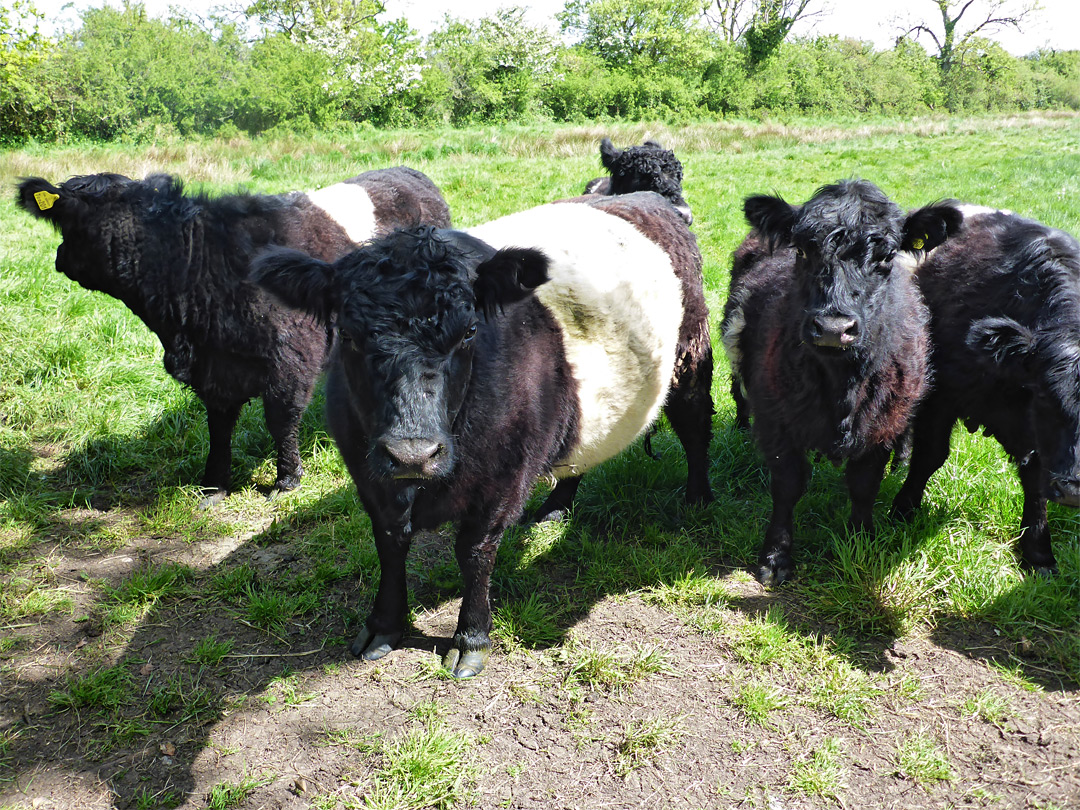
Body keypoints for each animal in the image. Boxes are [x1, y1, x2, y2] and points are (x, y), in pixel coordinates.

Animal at [21, 168, 451, 505]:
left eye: (71, 220)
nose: (59, 257)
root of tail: (411, 174)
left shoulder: (291, 360)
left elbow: (280, 420)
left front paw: (285, 480)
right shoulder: (214, 371)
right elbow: (218, 425)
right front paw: (213, 486)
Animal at [248, 190, 712, 678]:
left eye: (470, 331)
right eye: (350, 335)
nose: (413, 454)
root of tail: (646, 198)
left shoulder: (502, 480)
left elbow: (474, 553)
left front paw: (470, 638)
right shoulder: (370, 477)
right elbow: (390, 545)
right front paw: (384, 626)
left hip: (690, 355)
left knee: (695, 424)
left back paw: (698, 496)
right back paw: (555, 508)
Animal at [717, 179, 963, 583]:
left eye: (887, 256)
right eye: (802, 249)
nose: (834, 329)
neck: (839, 386)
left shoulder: (880, 425)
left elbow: (864, 484)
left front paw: (861, 539)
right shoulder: (777, 420)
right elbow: (787, 485)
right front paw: (776, 558)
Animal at [889, 209, 1080, 578]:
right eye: (1045, 396)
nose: (1074, 490)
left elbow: (1035, 481)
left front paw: (1038, 552)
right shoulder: (941, 395)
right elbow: (930, 456)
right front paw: (902, 510)